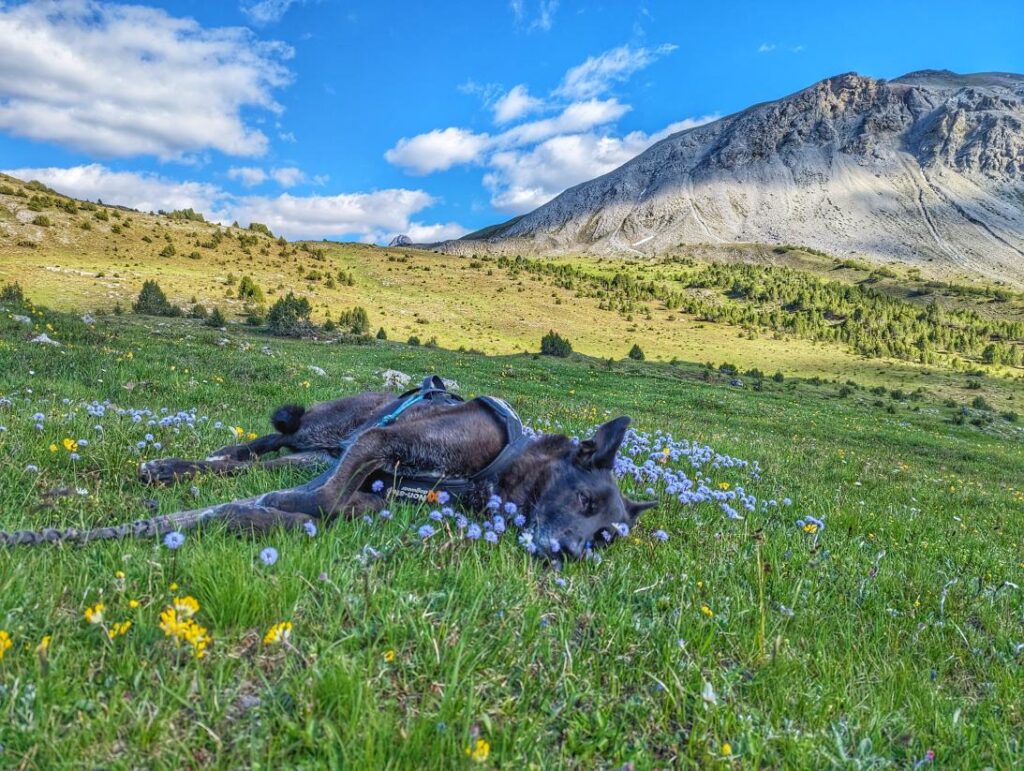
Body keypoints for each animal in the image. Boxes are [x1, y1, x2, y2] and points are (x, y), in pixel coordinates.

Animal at [0, 376, 655, 557]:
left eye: (607, 537)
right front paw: (273, 515)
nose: (575, 554)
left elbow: (331, 503)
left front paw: (261, 518)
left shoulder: (380, 480)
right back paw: (176, 466)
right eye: (586, 502)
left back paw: (184, 470)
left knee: (253, 463)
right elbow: (320, 501)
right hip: (332, 429)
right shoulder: (383, 439)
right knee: (263, 444)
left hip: (324, 449)